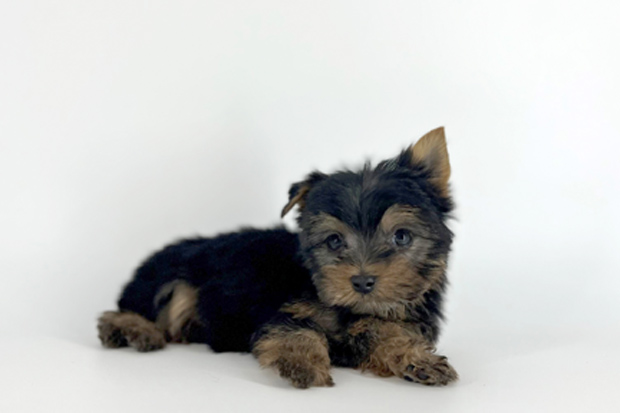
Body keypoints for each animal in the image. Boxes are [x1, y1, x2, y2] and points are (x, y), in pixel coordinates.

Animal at [97, 127, 458, 388]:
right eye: (334, 241)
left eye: (401, 236)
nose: (362, 281)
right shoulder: (279, 309)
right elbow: (294, 328)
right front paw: (302, 363)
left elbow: (386, 333)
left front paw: (417, 359)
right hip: (168, 276)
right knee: (128, 308)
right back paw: (133, 330)